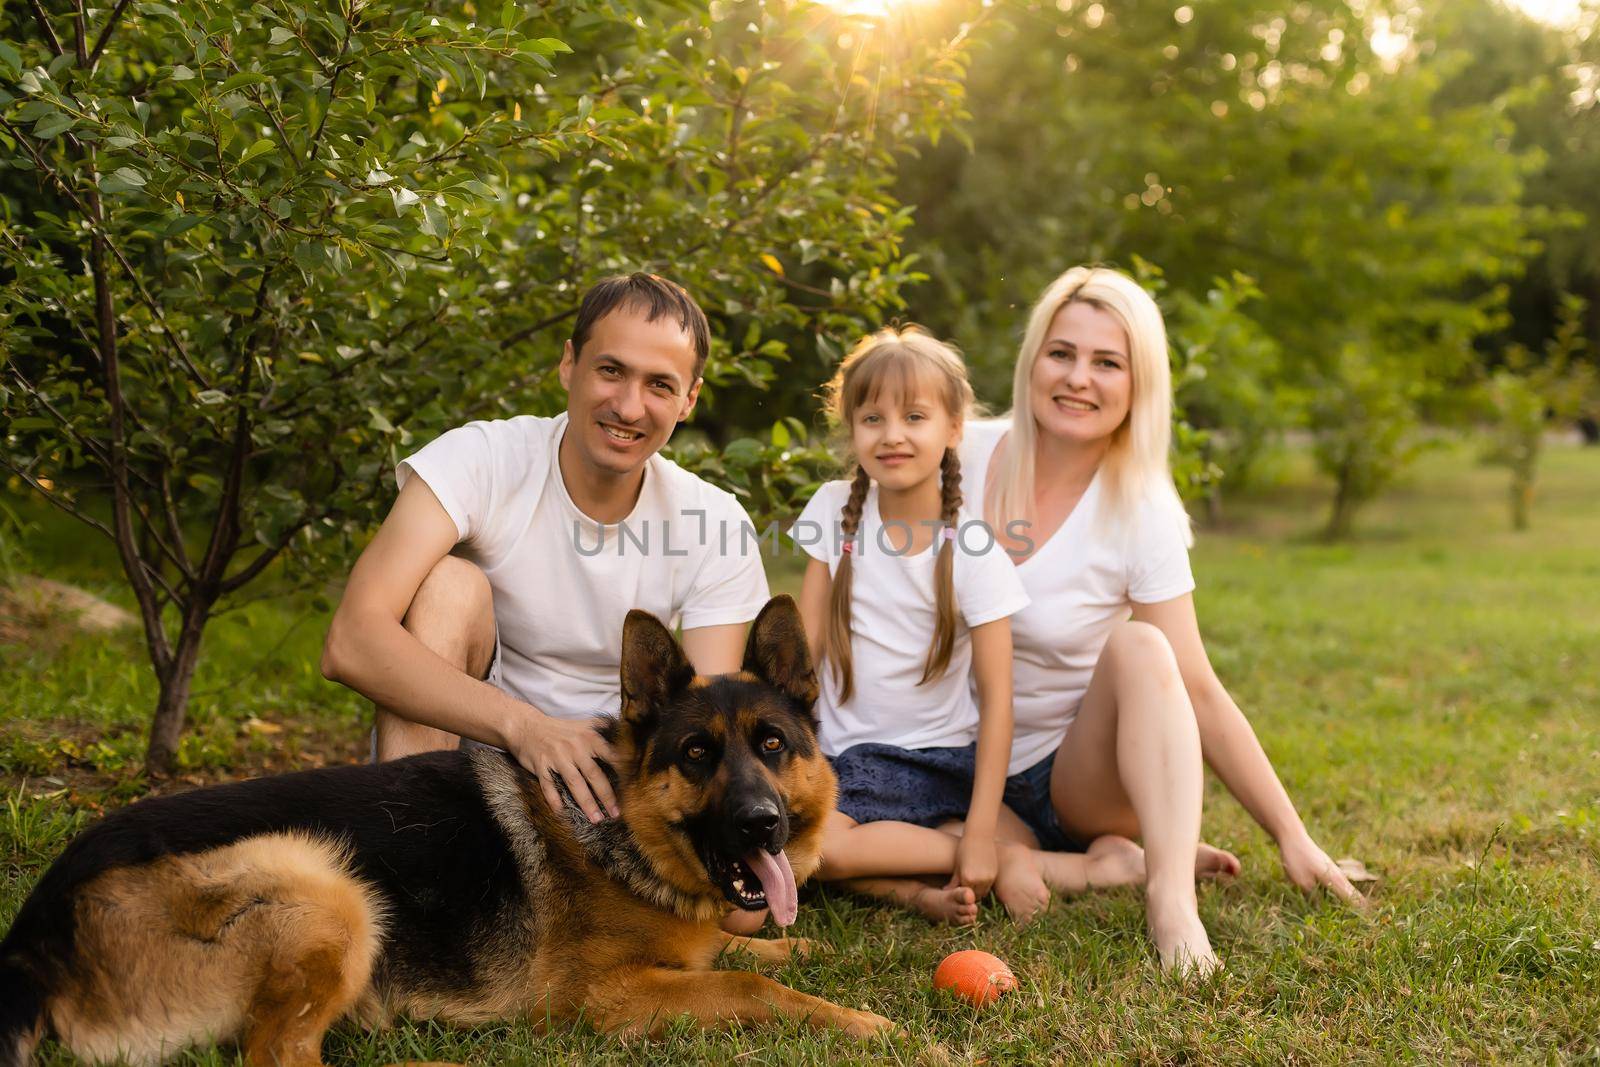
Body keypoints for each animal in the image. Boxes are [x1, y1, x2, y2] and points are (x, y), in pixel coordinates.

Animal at [0, 598, 889, 1062]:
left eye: (772, 745)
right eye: (698, 753)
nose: (762, 823)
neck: (626, 828)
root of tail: (33, 931)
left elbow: (746, 950)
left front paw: (806, 946)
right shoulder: (602, 998)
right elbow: (748, 983)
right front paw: (864, 1020)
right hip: (327, 885)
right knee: (276, 1054)